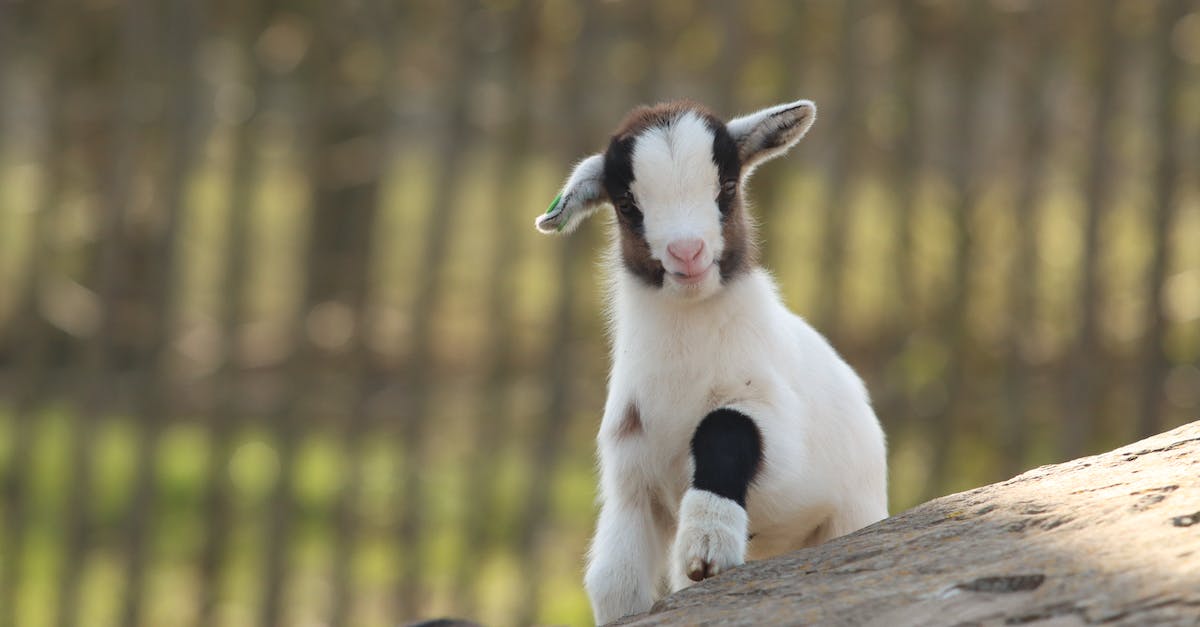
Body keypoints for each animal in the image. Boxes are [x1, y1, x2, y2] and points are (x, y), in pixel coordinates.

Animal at [535, 100, 892, 619]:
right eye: (628, 205)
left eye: (726, 187)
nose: (687, 252)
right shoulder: (631, 475)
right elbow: (615, 581)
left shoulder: (774, 423)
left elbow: (724, 429)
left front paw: (706, 542)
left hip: (852, 512)